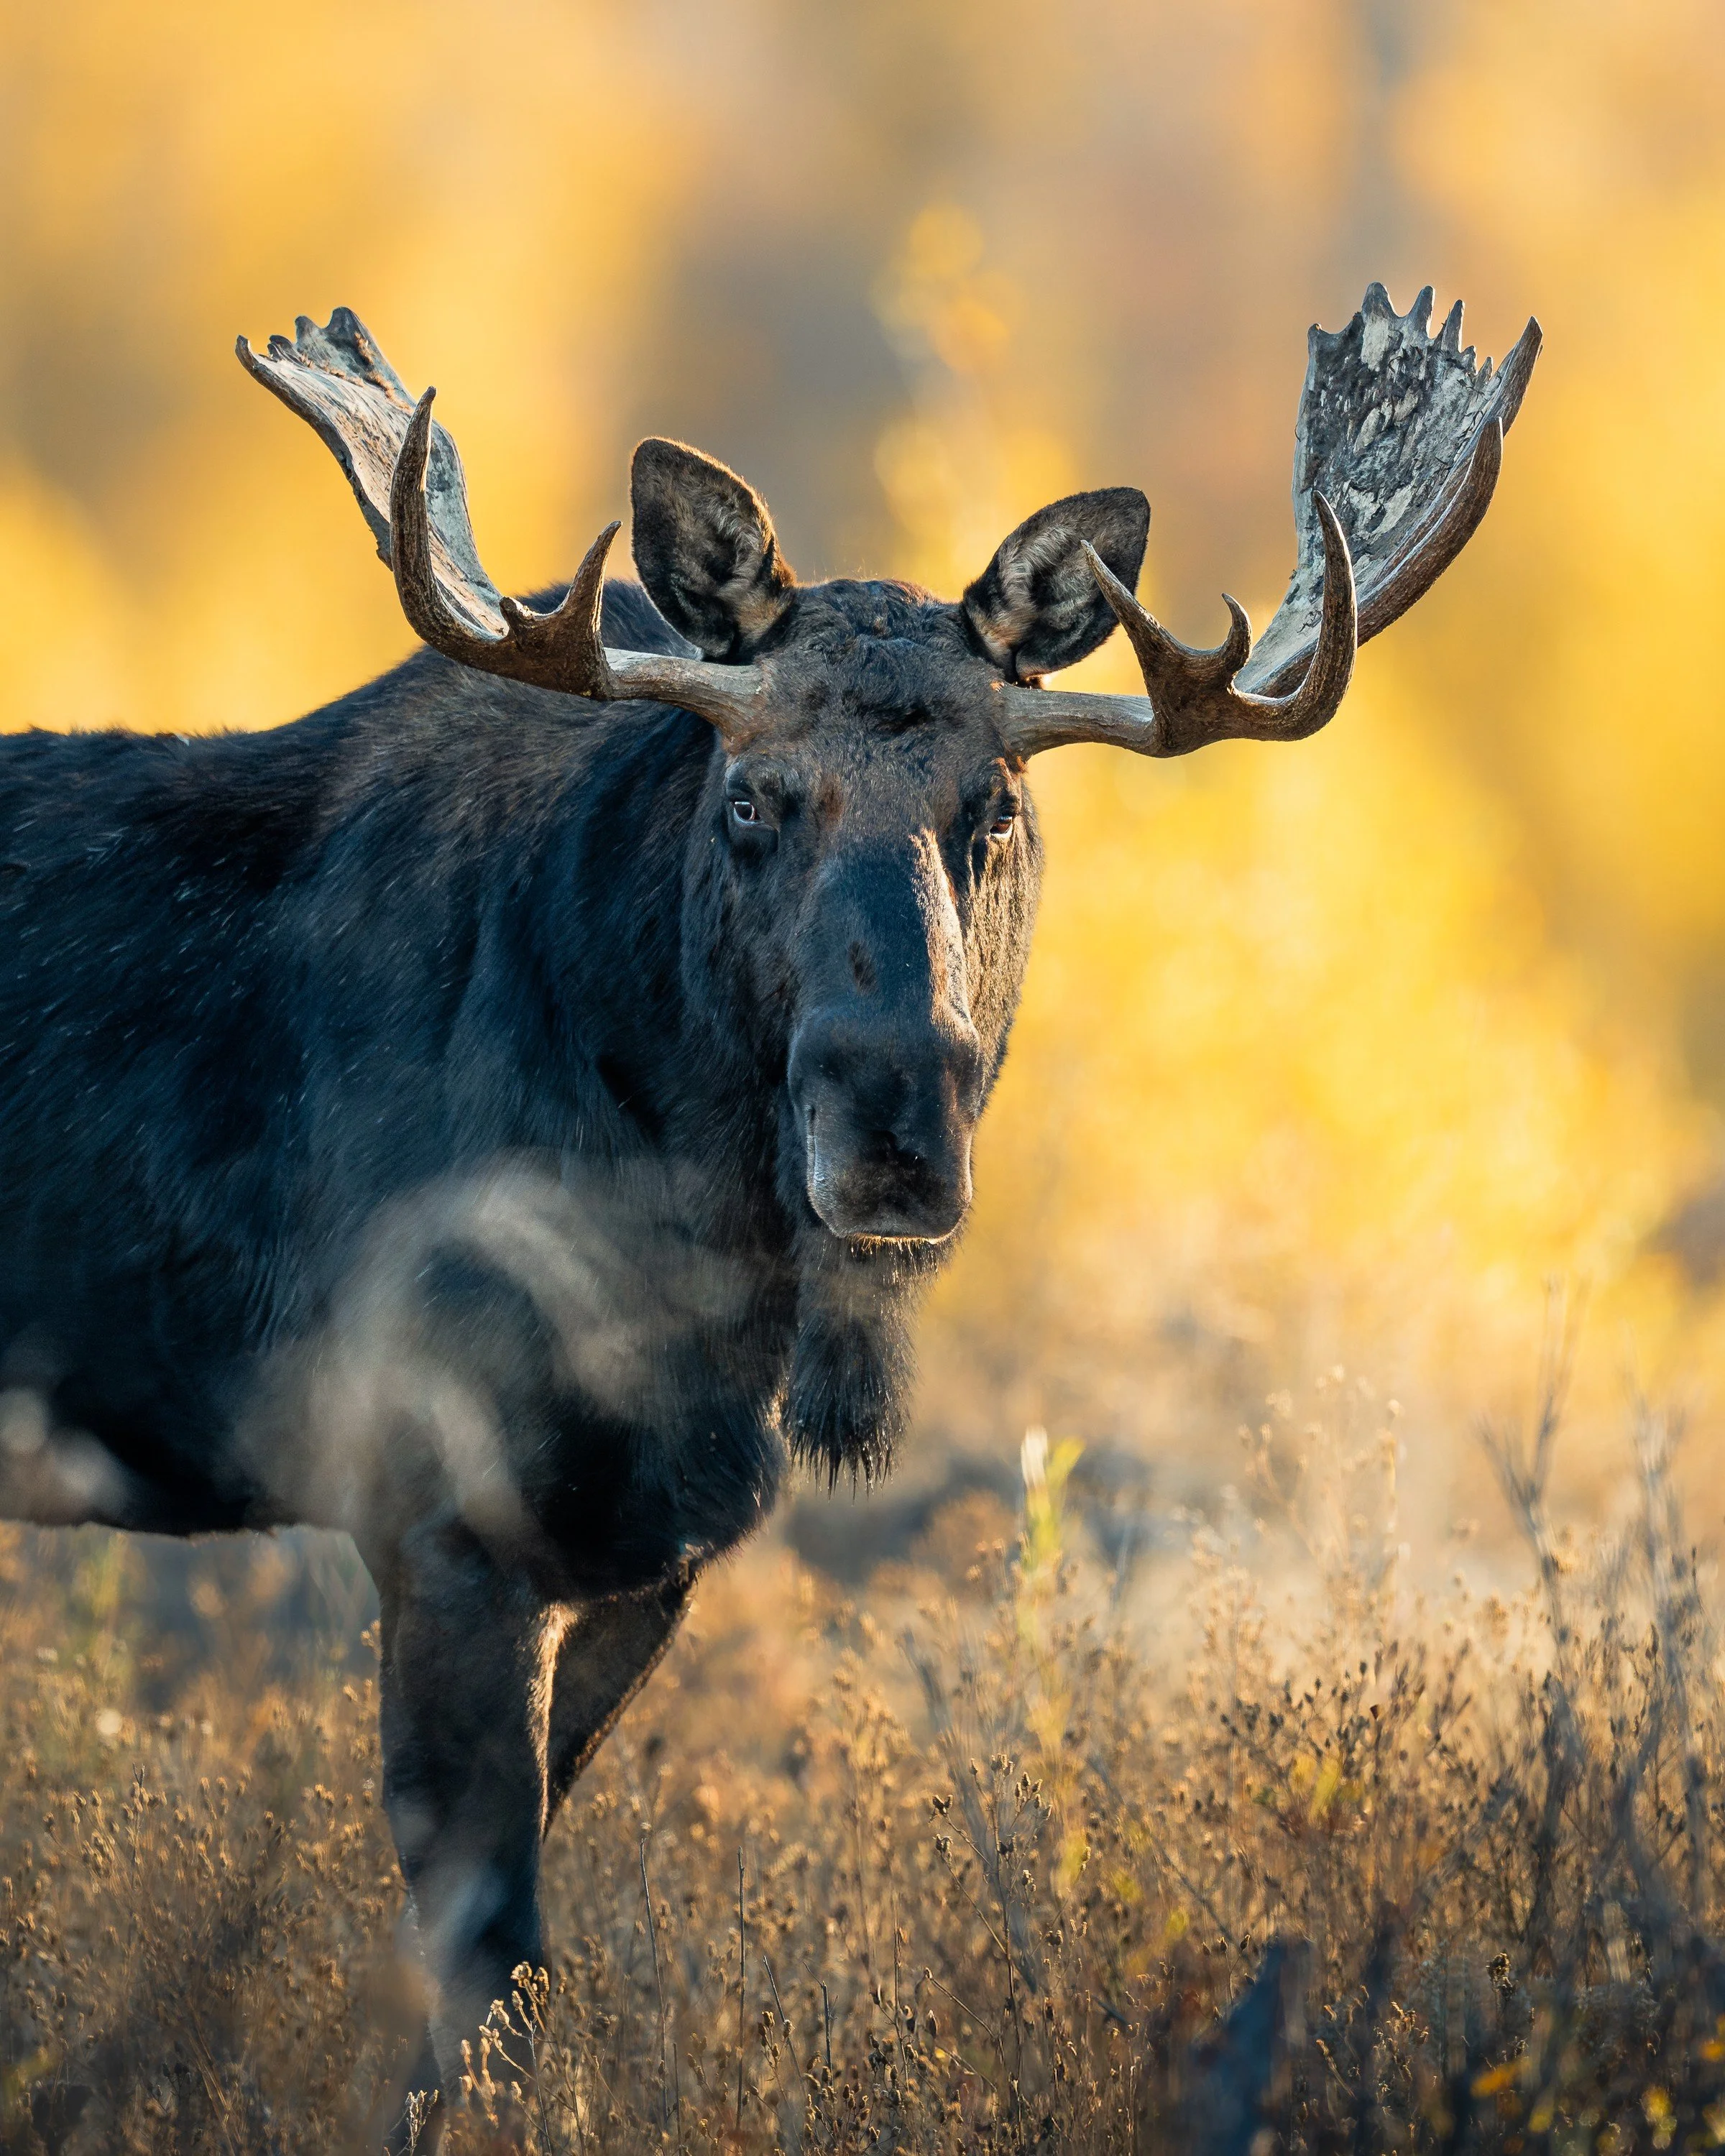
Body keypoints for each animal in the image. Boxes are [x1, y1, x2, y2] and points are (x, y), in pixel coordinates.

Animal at [0, 280, 1537, 2130]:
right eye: (751, 799)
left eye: (994, 811)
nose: (893, 1125)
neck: (699, 1265)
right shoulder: (435, 1510)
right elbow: (477, 1952)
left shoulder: (651, 1548)